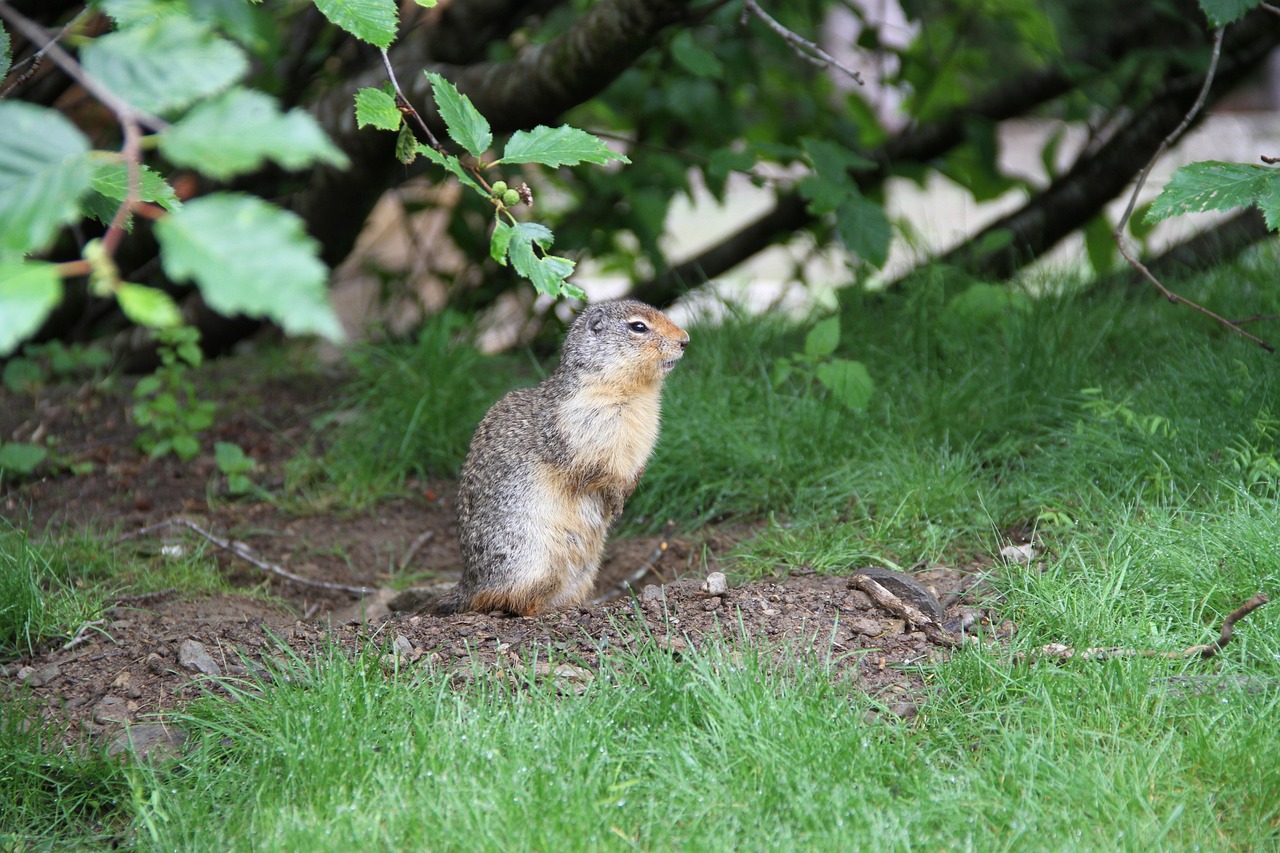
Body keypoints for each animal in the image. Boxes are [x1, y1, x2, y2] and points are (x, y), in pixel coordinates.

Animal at [432, 297, 691, 612]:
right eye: (638, 327)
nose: (685, 340)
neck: (636, 393)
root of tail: (469, 583)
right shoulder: (579, 431)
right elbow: (595, 469)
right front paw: (616, 499)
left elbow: (632, 468)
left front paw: (624, 495)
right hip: (532, 560)